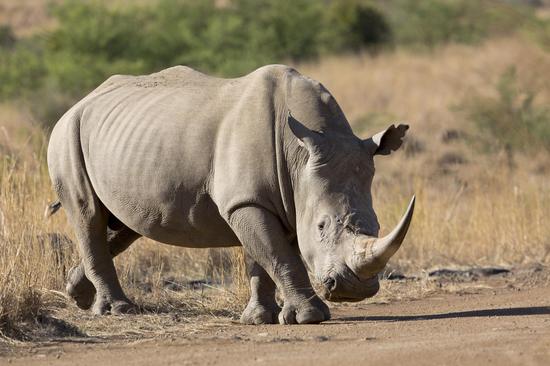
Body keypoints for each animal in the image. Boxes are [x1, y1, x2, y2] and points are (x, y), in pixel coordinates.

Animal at [47, 64, 416, 324]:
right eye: (322, 226)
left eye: (377, 225)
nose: (356, 290)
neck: (300, 154)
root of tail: (79, 102)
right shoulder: (248, 201)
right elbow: (280, 256)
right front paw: (312, 317)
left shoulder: (272, 199)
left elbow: (264, 258)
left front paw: (260, 319)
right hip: (66, 134)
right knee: (88, 214)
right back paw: (117, 310)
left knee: (123, 226)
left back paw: (78, 294)